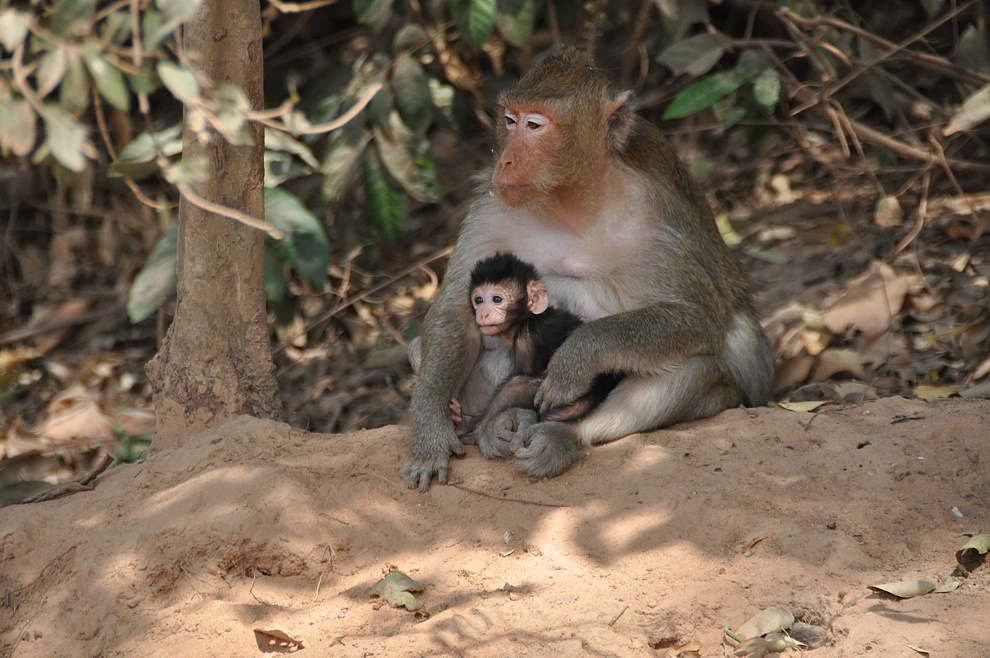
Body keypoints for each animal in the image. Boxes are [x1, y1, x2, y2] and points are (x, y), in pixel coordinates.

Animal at [452, 254, 620, 444]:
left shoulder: (528, 338)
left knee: (517, 385)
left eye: (497, 299)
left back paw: (475, 432)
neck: (527, 320)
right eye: (478, 300)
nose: (483, 314)